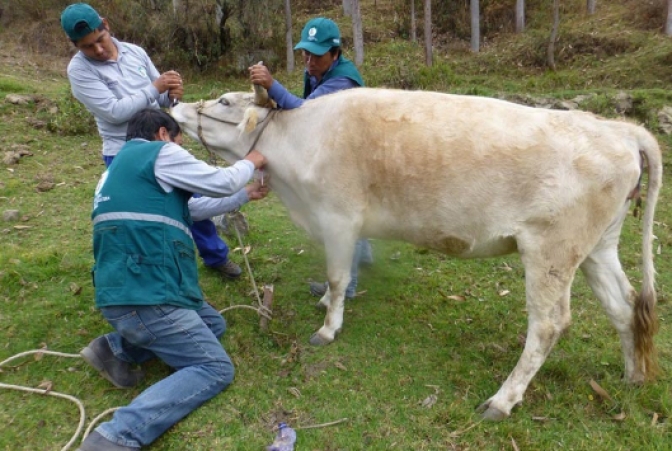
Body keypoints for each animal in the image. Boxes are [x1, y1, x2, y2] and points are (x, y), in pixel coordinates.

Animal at [169, 86, 660, 422]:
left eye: (224, 102)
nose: (174, 105)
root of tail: (615, 127)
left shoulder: (338, 218)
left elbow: (337, 275)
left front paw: (328, 327)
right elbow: (340, 276)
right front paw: (328, 303)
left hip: (550, 251)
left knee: (548, 324)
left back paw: (502, 400)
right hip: (598, 247)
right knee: (624, 306)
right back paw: (633, 375)